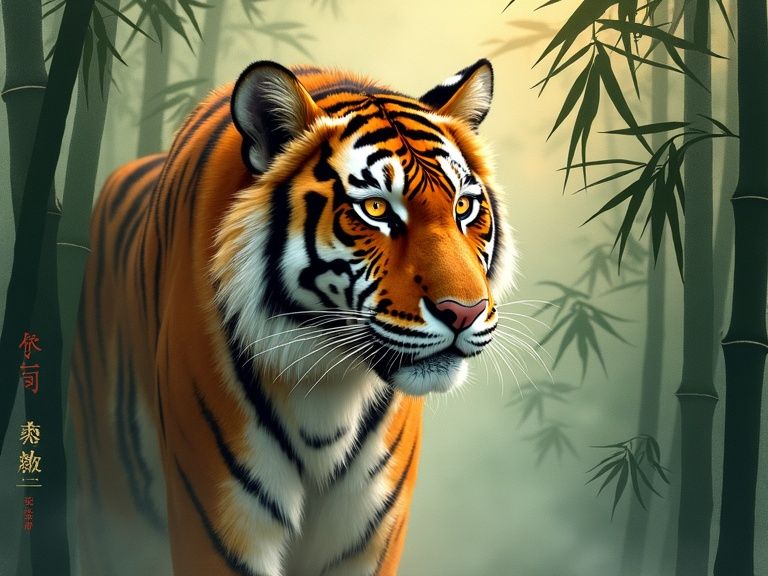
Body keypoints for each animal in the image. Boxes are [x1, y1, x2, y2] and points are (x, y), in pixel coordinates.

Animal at [68, 59, 517, 576]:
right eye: (376, 208)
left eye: (463, 206)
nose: (465, 312)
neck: (328, 381)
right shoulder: (219, 524)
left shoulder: (371, 533)